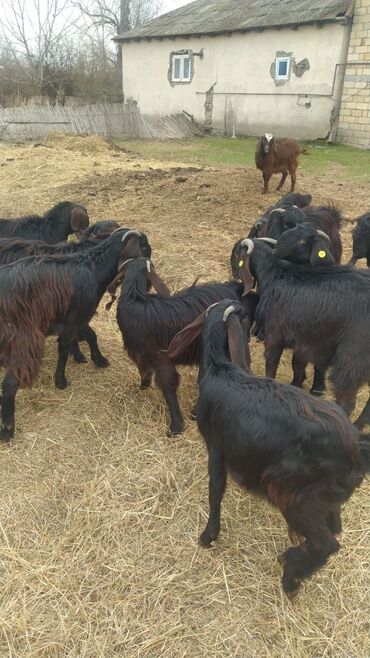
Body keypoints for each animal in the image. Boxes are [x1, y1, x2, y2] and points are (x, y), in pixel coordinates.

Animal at [0, 227, 149, 440]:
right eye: (143, 245)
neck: (93, 268)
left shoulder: (74, 320)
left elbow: (87, 337)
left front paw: (87, 358)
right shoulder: (75, 318)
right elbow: (68, 347)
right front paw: (62, 380)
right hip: (23, 341)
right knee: (10, 384)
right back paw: (7, 429)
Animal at [115, 256, 258, 436]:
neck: (134, 299)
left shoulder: (161, 358)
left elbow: (168, 386)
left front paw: (176, 427)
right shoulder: (143, 356)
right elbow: (145, 372)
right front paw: (142, 387)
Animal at [166, 302, 368, 596]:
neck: (219, 369)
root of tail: (355, 449)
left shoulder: (217, 447)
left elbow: (215, 490)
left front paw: (208, 536)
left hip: (295, 493)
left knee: (327, 543)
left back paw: (292, 576)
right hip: (325, 496)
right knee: (335, 527)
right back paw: (293, 557)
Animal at [236, 238, 370, 428]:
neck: (275, 274)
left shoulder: (275, 335)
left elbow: (271, 363)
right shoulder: (304, 340)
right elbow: (297, 365)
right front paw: (296, 385)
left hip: (351, 361)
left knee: (347, 402)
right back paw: (359, 426)